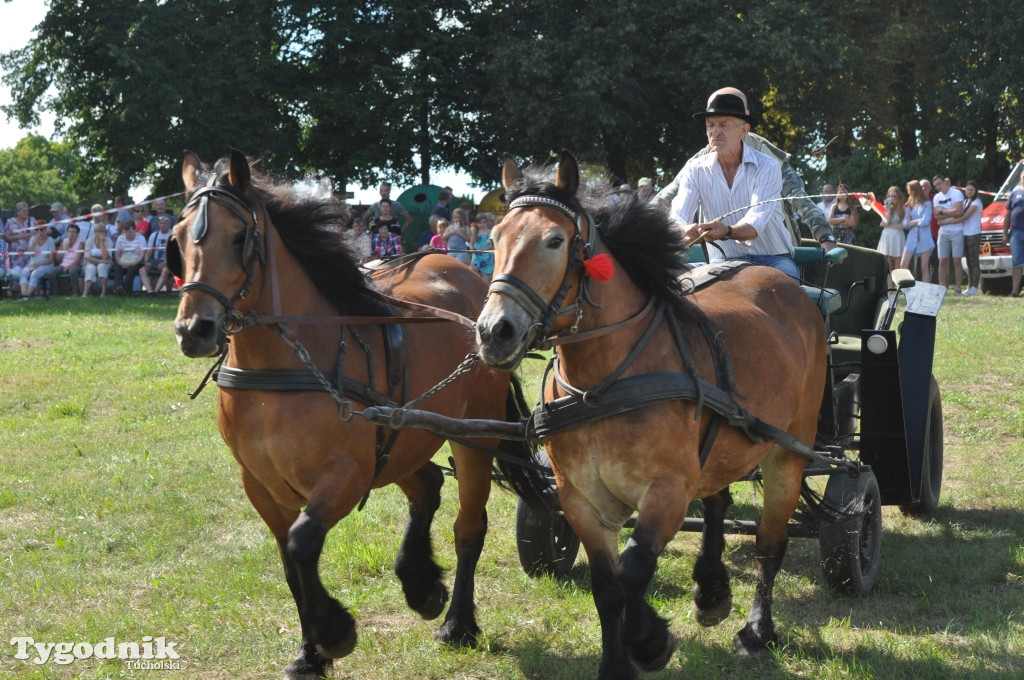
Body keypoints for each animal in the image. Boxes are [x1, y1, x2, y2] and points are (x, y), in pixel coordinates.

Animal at [169, 150, 552, 680]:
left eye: (239, 237)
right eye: (178, 237)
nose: (195, 329)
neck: (278, 371)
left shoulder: (346, 474)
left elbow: (302, 542)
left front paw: (335, 633)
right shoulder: (260, 483)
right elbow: (289, 563)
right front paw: (310, 654)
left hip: (471, 433)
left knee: (468, 527)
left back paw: (458, 623)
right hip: (403, 436)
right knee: (427, 487)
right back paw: (421, 583)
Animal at [475, 153, 827, 680]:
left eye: (554, 240)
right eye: (495, 238)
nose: (494, 331)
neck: (603, 383)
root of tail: (793, 291)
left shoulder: (667, 489)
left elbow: (634, 567)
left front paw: (649, 643)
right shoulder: (579, 497)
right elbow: (608, 584)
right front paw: (617, 662)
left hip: (788, 451)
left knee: (770, 541)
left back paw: (757, 629)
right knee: (719, 504)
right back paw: (711, 590)